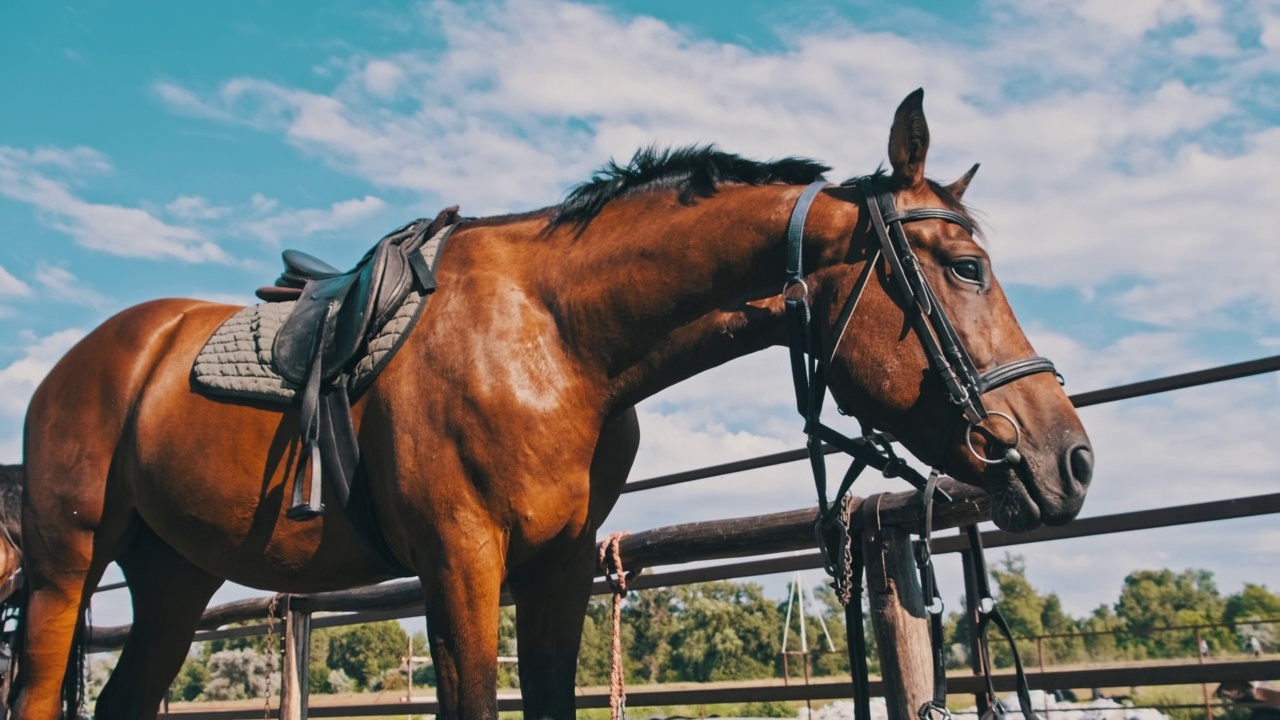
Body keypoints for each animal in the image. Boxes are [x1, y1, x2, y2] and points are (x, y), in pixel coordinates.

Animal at [15, 90, 1090, 717]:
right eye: (966, 269)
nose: (1069, 460)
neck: (561, 343)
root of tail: (87, 358)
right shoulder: (461, 564)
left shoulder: (559, 568)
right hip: (65, 569)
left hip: (173, 583)